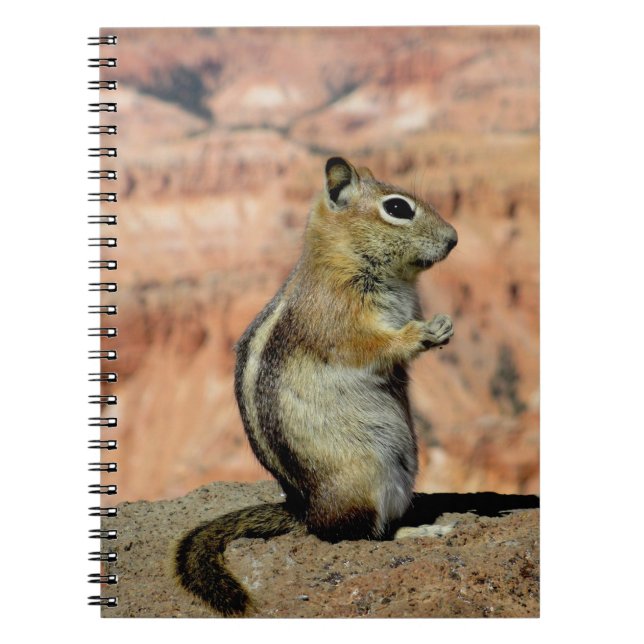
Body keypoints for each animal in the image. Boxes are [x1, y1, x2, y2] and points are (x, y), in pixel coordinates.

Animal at [174, 157, 458, 616]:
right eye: (398, 208)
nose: (454, 239)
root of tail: (306, 511)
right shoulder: (340, 318)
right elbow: (372, 346)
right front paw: (421, 334)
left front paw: (444, 325)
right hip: (366, 479)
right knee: (357, 536)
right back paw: (420, 533)